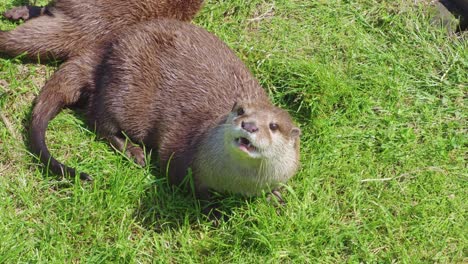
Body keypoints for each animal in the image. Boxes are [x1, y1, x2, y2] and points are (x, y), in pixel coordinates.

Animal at [28, 18, 300, 199]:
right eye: (241, 111)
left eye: (273, 126)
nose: (249, 125)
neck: (236, 183)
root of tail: (104, 48)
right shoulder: (179, 150)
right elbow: (185, 184)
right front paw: (211, 207)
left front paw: (273, 196)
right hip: (124, 91)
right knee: (99, 120)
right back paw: (134, 152)